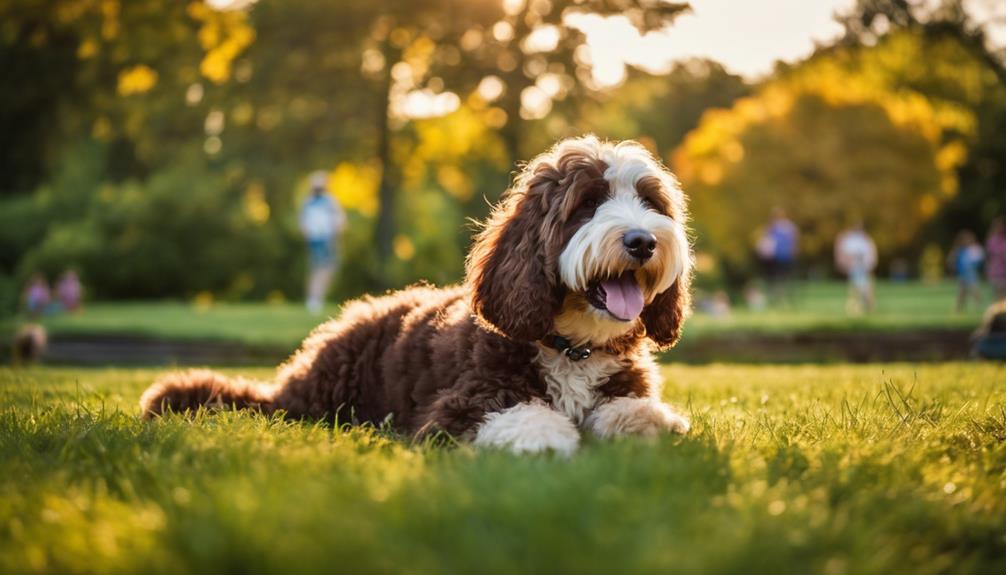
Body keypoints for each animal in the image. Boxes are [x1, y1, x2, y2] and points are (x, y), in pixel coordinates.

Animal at [139, 134, 692, 454]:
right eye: (588, 203)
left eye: (650, 202)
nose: (642, 241)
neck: (571, 347)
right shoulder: (457, 406)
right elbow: (522, 416)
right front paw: (547, 435)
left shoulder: (624, 384)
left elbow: (635, 413)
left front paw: (649, 423)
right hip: (325, 396)